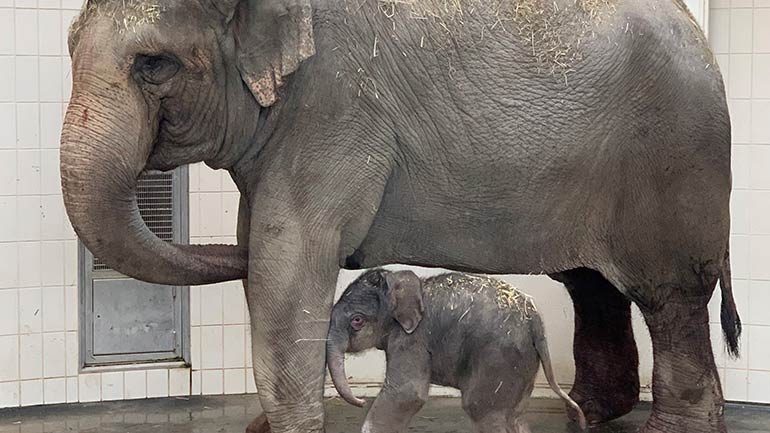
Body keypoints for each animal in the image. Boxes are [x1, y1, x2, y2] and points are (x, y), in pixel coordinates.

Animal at [324, 270, 584, 432]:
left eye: (357, 320)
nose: (360, 401)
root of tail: (535, 320)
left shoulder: (412, 339)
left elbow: (407, 394)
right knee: (516, 416)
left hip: (498, 358)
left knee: (482, 408)